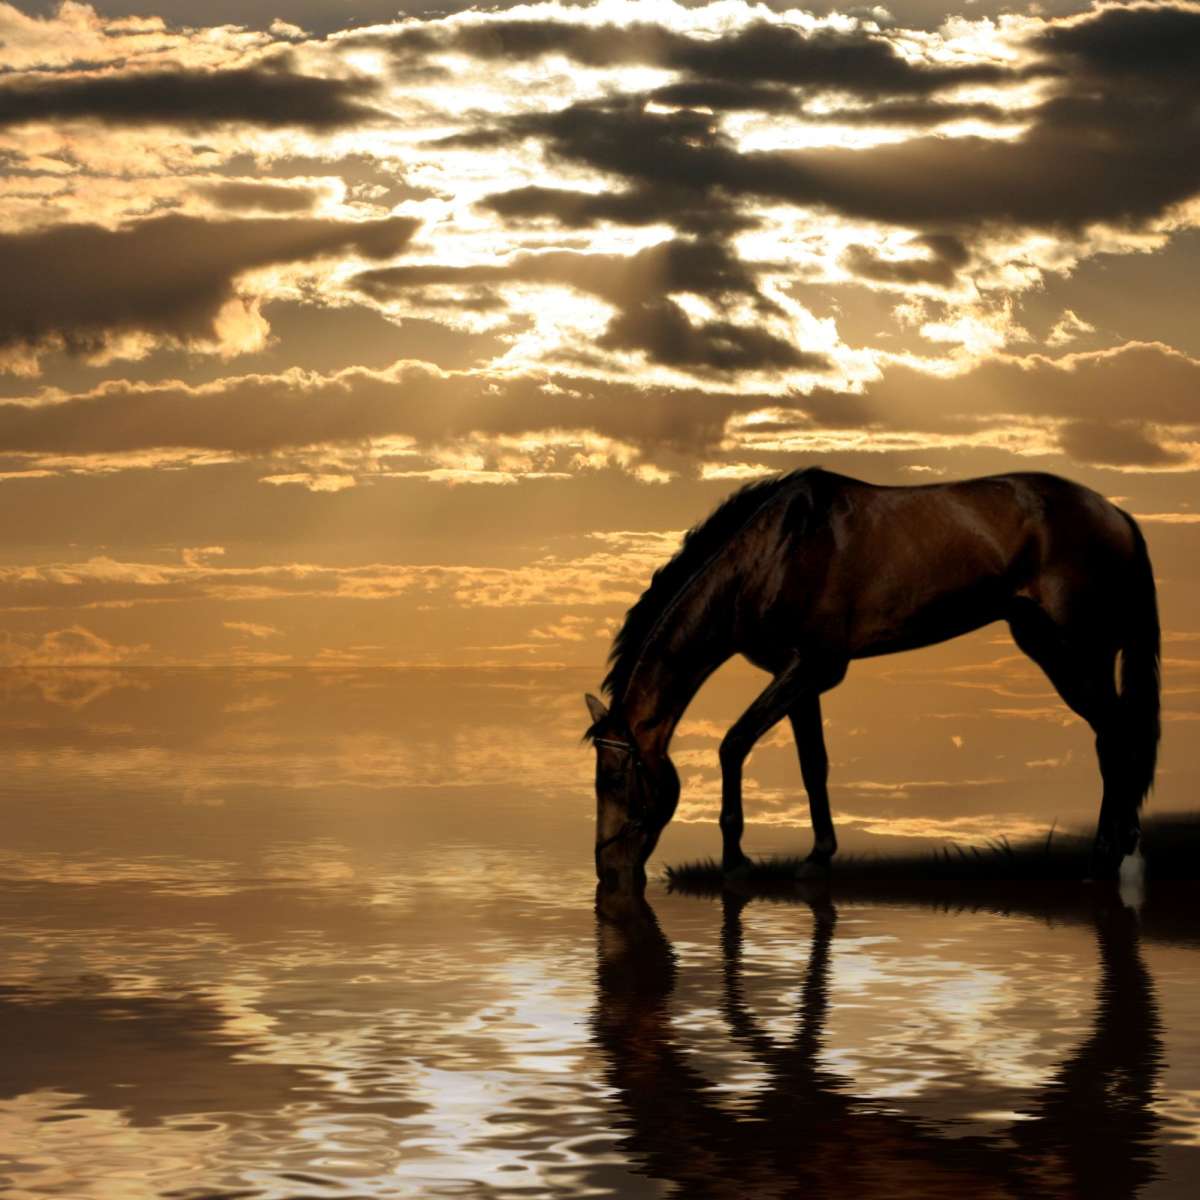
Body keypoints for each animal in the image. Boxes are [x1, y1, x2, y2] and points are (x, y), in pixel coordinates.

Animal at [584, 468, 1160, 892]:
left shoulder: (813, 667)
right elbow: (813, 766)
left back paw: (1103, 862)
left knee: (1116, 738)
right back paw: (1121, 849)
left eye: (613, 779)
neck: (774, 553)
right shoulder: (799, 678)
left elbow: (733, 744)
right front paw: (818, 859)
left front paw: (736, 863)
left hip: (1078, 653)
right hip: (1052, 647)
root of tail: (1118, 515)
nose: (608, 874)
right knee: (1113, 739)